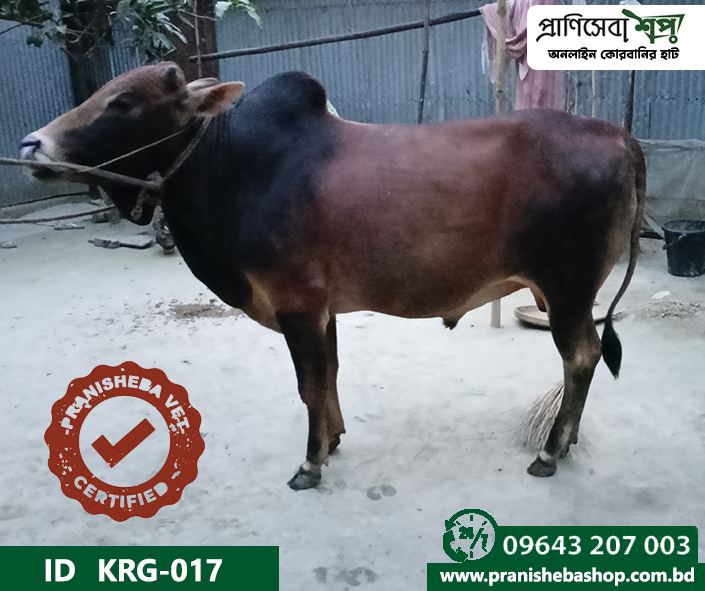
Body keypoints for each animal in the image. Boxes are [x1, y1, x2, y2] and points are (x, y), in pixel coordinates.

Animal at [20, 63, 646, 490]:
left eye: (123, 101)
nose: (31, 144)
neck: (236, 166)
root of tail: (618, 136)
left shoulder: (296, 304)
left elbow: (308, 386)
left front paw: (310, 462)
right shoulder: (323, 310)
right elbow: (330, 378)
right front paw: (335, 438)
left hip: (568, 291)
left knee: (581, 357)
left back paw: (550, 452)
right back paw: (563, 444)